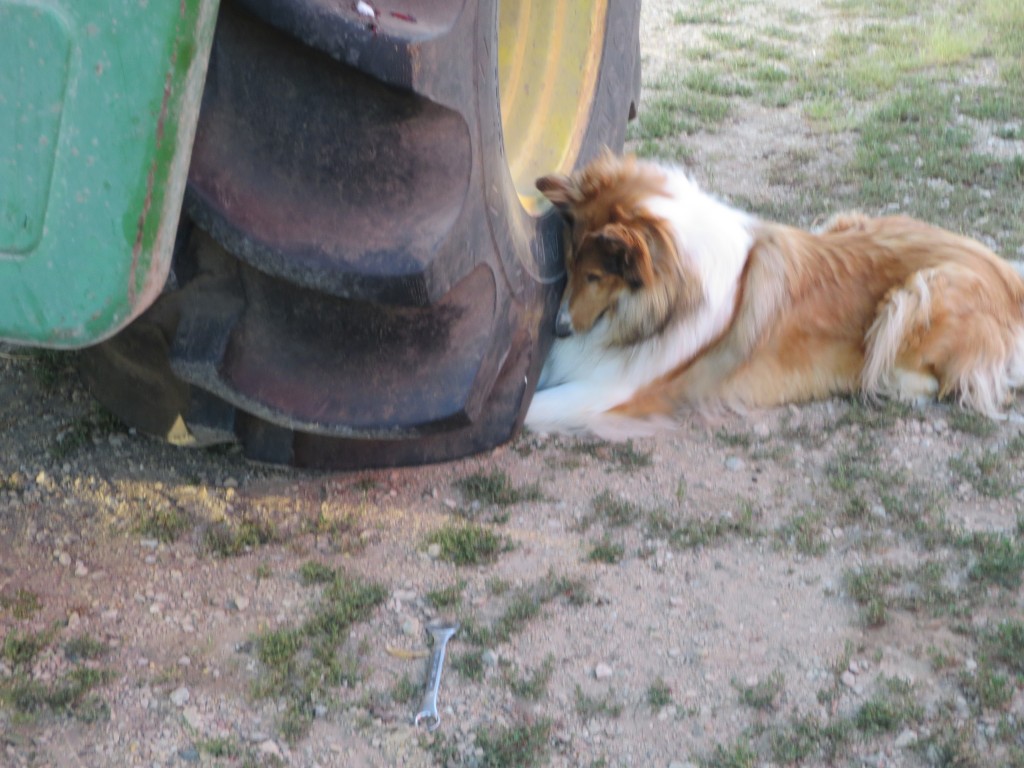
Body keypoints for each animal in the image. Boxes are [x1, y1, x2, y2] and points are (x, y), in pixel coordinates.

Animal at [524, 151, 1024, 438]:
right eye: (567, 266)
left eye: (594, 276)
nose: (559, 329)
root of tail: (1008, 274)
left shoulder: (612, 389)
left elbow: (529, 413)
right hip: (851, 221)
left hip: (919, 292)